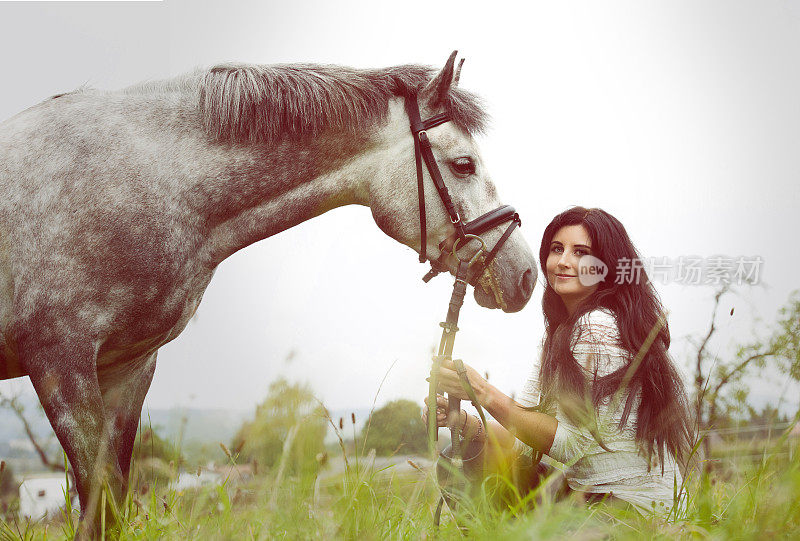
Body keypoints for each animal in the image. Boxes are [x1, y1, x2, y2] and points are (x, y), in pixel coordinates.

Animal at [1, 52, 536, 528]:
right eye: (464, 164)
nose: (526, 274)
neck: (148, 179)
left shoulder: (128, 368)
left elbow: (111, 500)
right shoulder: (60, 363)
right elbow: (101, 497)